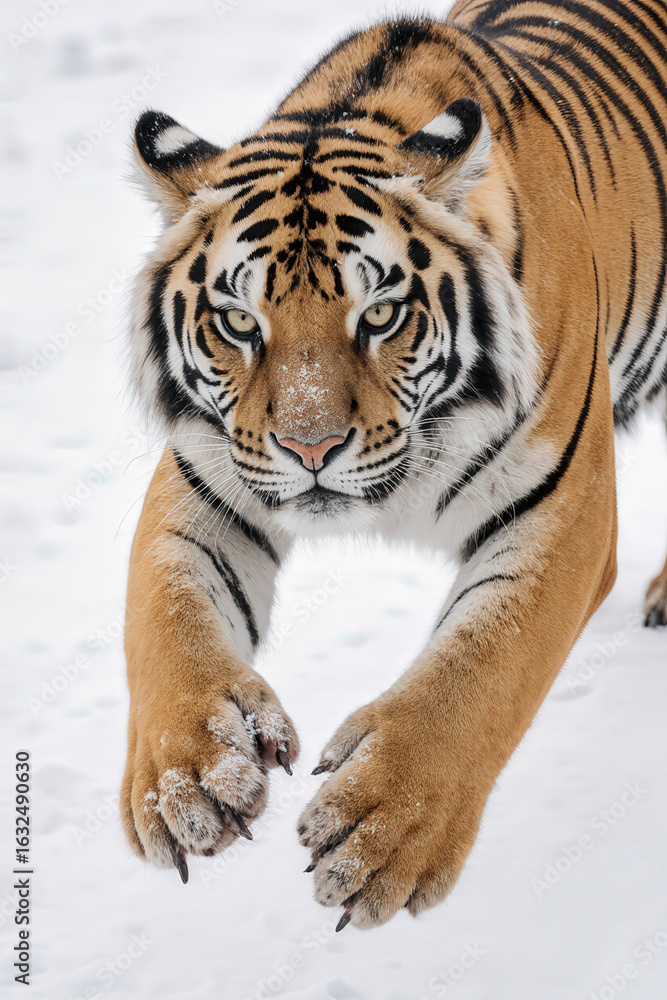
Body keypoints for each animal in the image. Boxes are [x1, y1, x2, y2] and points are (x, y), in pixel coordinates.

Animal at [121, 0, 667, 930]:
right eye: (239, 322)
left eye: (379, 314)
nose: (310, 449)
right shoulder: (207, 478)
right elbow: (165, 615)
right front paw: (185, 777)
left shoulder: (561, 507)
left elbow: (481, 667)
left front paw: (382, 830)